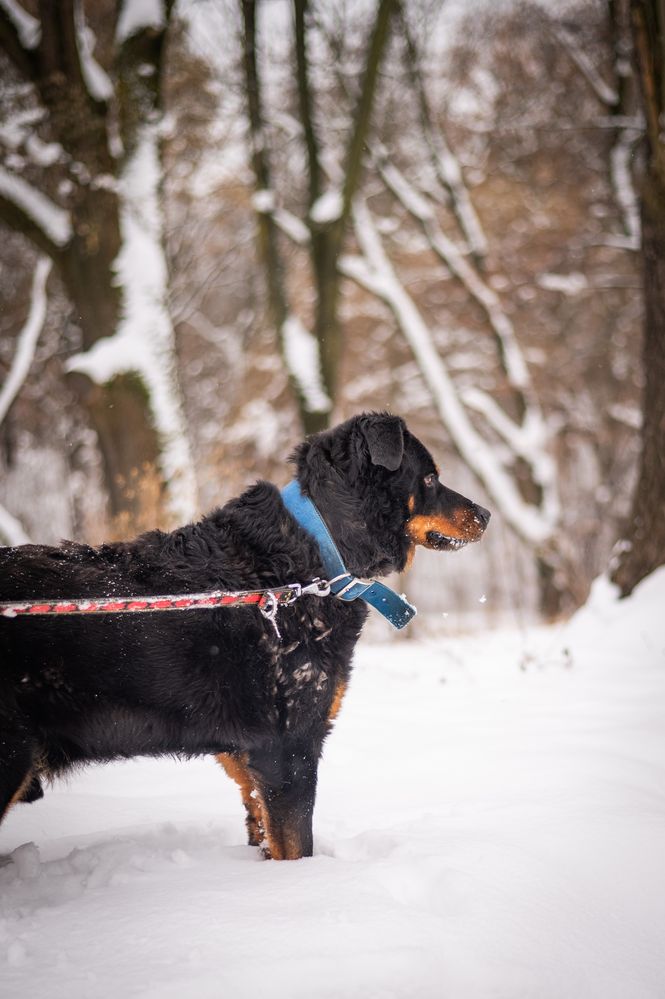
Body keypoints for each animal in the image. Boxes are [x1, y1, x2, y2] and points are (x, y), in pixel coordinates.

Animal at [0, 412, 488, 860]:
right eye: (430, 477)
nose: (485, 514)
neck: (318, 560)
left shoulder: (247, 758)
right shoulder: (289, 749)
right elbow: (298, 845)